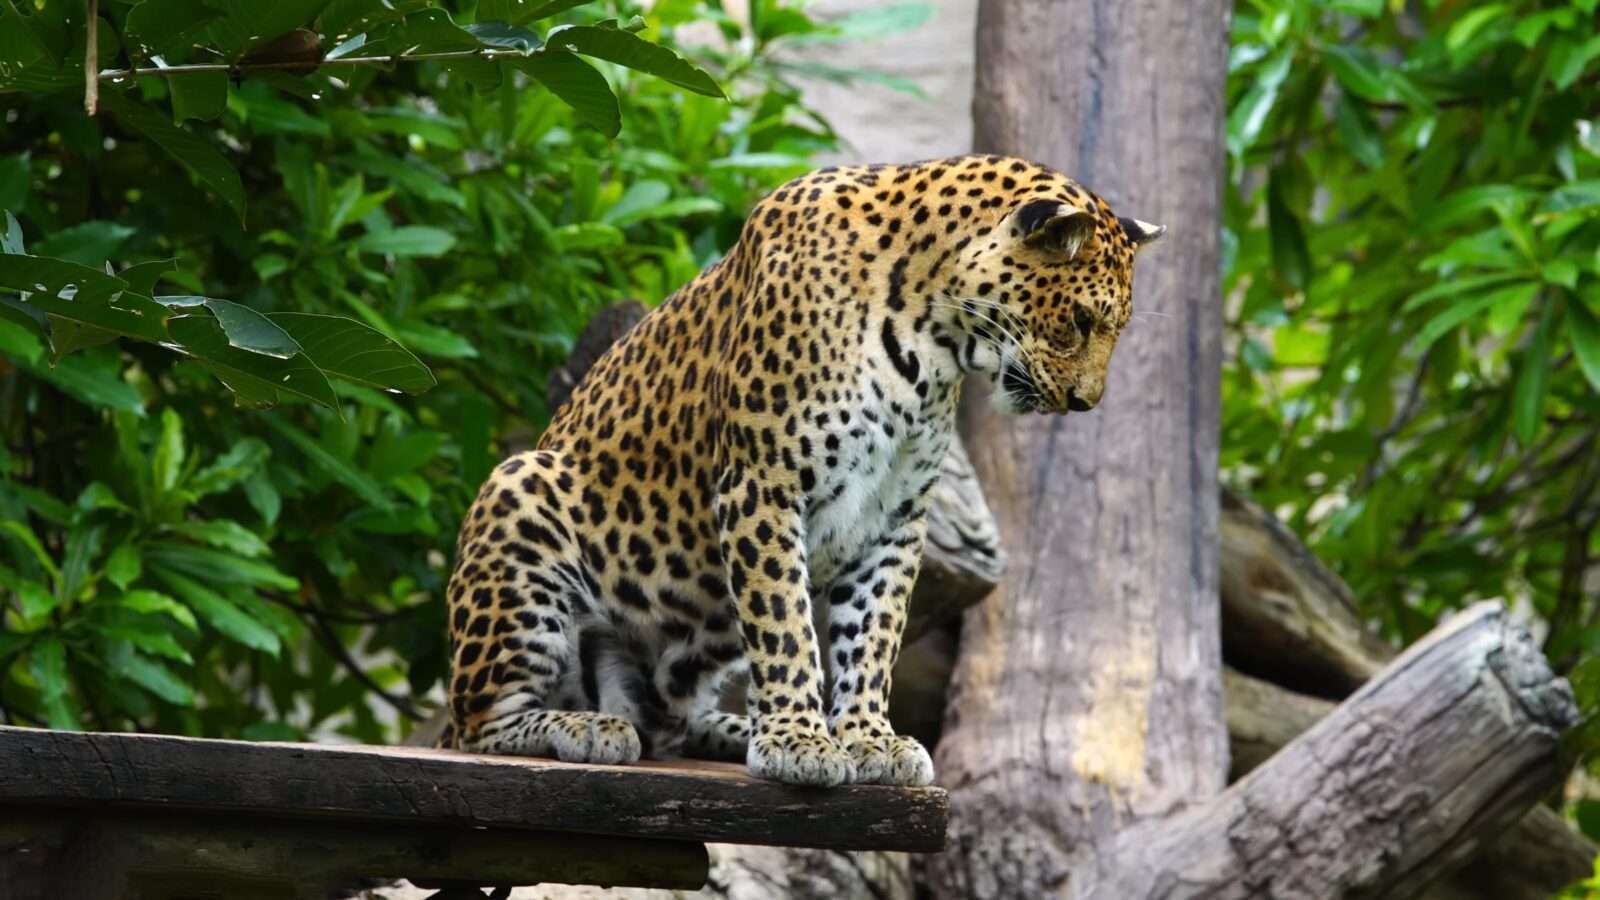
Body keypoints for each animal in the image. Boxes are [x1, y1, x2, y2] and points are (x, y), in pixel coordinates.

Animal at [438, 153, 1164, 784]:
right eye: (1081, 320)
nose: (1085, 403)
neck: (932, 341)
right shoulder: (764, 486)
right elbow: (785, 625)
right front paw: (798, 741)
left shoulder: (896, 516)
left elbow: (873, 634)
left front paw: (867, 738)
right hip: (517, 496)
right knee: (479, 722)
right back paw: (588, 727)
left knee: (670, 722)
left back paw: (723, 728)